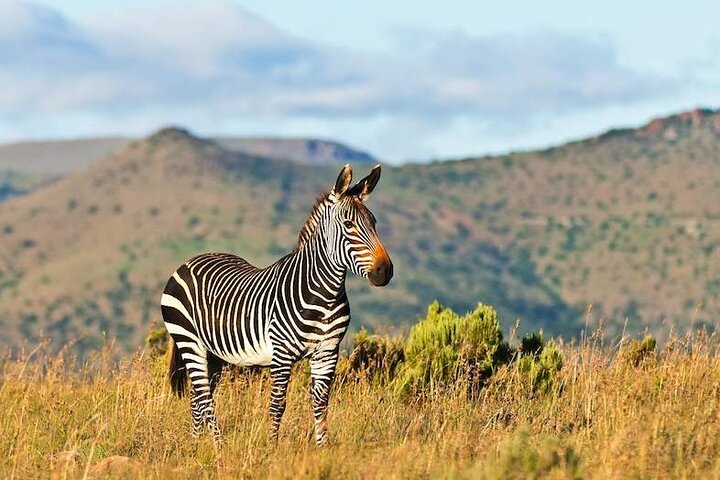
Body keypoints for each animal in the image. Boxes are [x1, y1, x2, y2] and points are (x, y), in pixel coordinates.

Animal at [160, 164, 393, 446]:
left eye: (374, 223)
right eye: (348, 224)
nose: (385, 271)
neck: (324, 295)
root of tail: (190, 261)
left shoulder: (327, 352)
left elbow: (321, 404)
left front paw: (323, 447)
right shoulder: (281, 354)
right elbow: (277, 405)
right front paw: (272, 447)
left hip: (213, 353)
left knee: (197, 398)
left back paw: (196, 443)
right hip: (188, 340)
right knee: (204, 397)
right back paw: (218, 446)